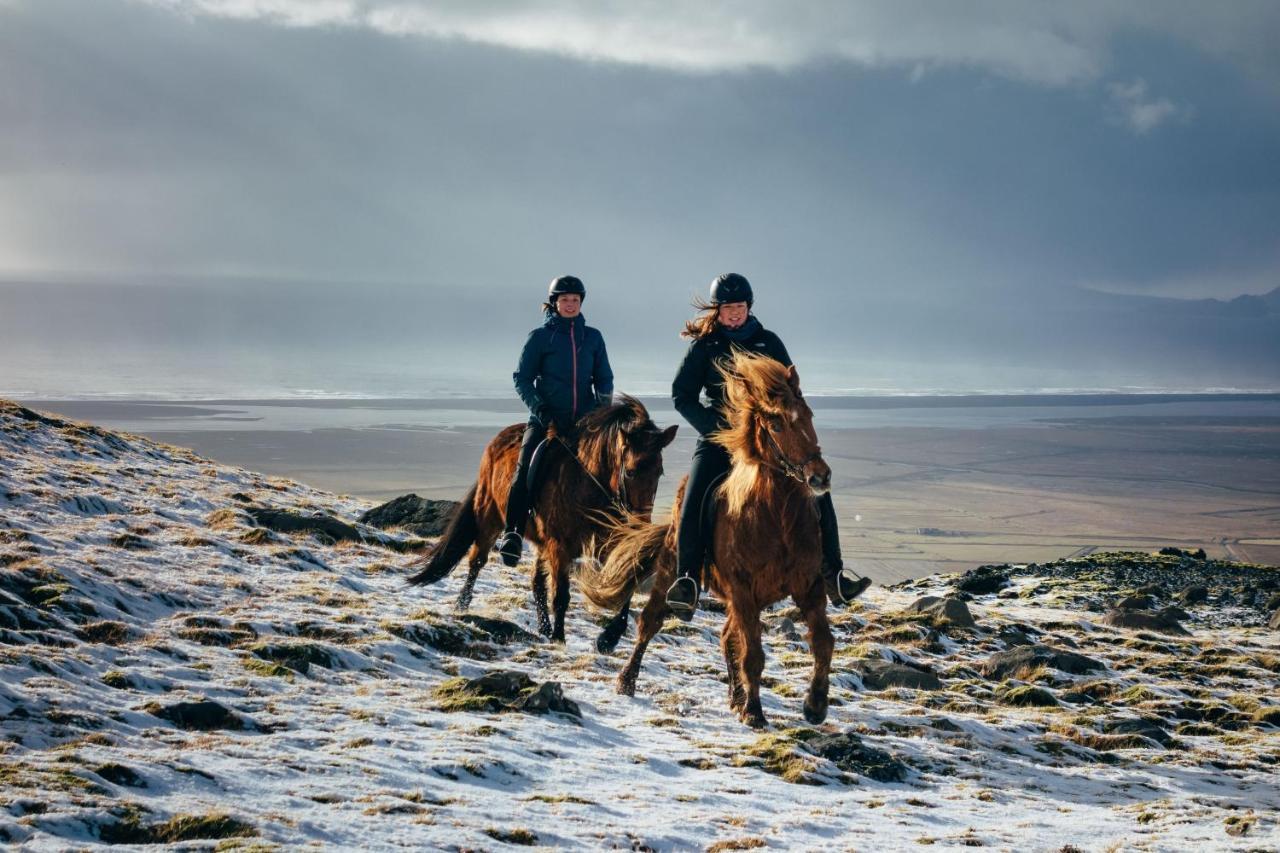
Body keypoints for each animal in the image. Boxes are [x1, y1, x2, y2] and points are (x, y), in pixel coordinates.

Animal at [407, 394, 680, 640]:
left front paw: (610, 636)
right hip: (490, 517)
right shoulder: (560, 547)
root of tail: (497, 441)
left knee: (536, 582)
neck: (588, 486)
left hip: (540, 542)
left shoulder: (607, 545)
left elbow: (627, 581)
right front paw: (559, 638)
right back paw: (463, 605)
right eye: (631, 472)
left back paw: (544, 627)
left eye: (659, 472)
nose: (640, 525)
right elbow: (561, 595)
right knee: (477, 560)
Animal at [576, 350, 834, 722]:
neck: (777, 519)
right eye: (776, 424)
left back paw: (736, 697)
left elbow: (824, 643)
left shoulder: (809, 586)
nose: (819, 477)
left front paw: (815, 704)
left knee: (727, 637)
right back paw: (627, 681)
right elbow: (753, 654)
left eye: (809, 416)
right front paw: (755, 713)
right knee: (650, 622)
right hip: (672, 570)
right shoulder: (742, 590)